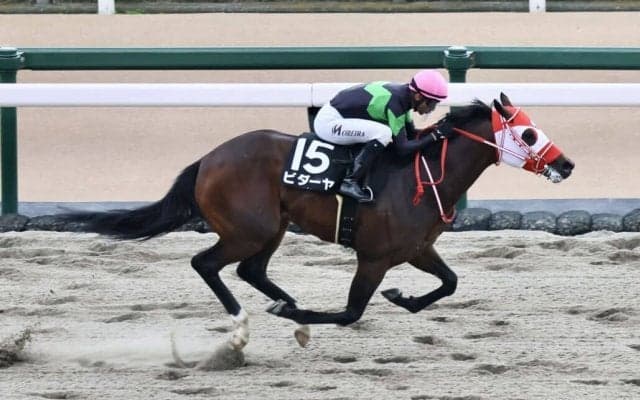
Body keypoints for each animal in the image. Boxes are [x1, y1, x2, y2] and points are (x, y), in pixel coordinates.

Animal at [62, 93, 574, 351]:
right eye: (529, 133)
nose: (566, 164)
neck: (427, 173)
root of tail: (208, 159)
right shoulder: (373, 257)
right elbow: (350, 313)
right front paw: (299, 316)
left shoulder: (416, 249)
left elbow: (449, 283)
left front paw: (403, 298)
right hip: (248, 229)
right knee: (206, 264)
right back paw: (246, 322)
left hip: (272, 228)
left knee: (251, 270)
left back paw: (281, 303)